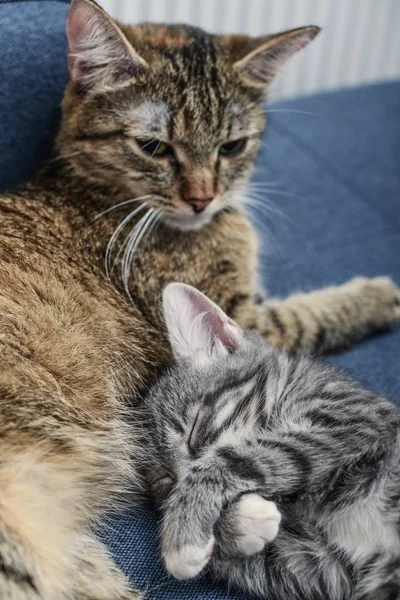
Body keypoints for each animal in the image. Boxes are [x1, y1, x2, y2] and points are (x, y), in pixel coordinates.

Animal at [145, 282, 400, 600]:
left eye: (194, 435)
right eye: (165, 482)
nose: (176, 487)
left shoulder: (356, 421)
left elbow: (241, 456)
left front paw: (182, 533)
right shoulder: (329, 570)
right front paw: (241, 524)